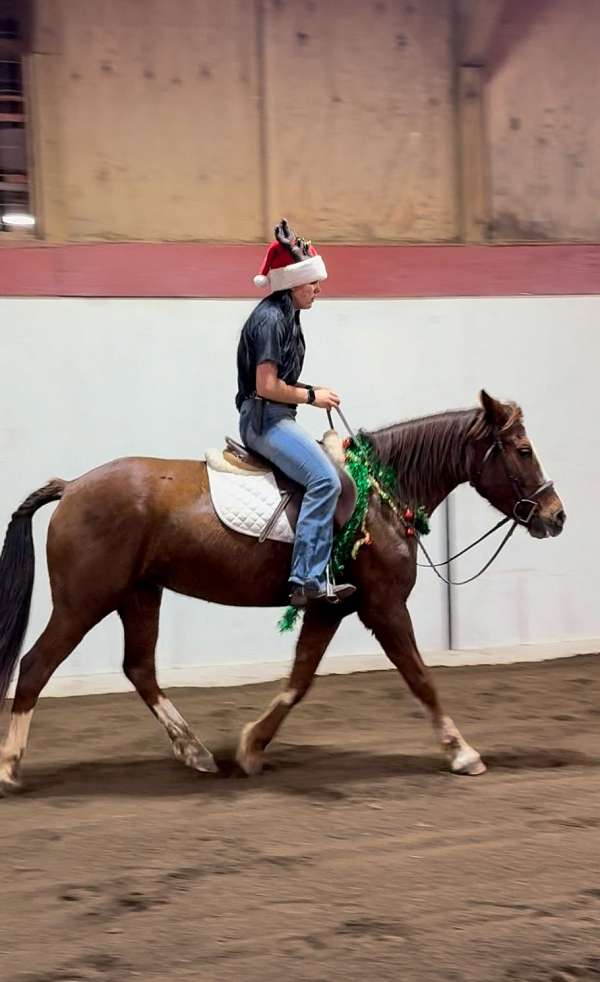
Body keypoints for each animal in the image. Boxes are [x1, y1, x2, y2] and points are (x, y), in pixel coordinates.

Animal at [0, 390, 565, 795]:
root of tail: (72, 486)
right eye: (523, 450)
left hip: (139, 595)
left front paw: (252, 747)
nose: (556, 515)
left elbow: (299, 680)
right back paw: (10, 767)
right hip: (84, 601)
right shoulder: (383, 606)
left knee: (139, 669)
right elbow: (421, 678)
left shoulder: (332, 607)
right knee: (35, 667)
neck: (379, 496)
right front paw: (462, 752)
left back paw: (196, 753)